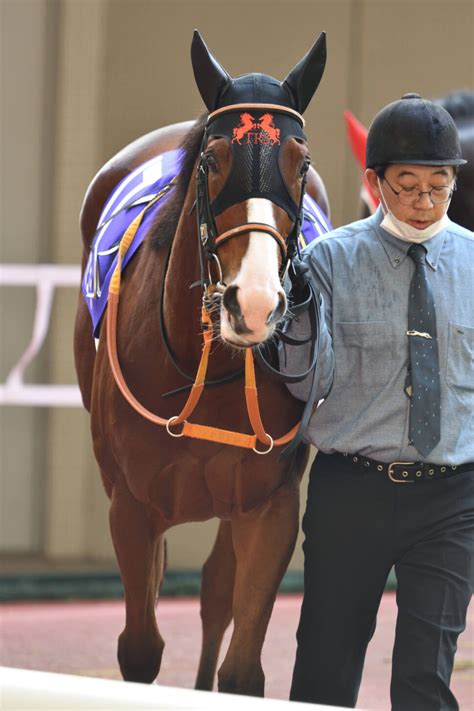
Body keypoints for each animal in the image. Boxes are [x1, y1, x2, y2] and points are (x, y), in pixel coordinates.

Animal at [74, 30, 330, 700]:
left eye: (301, 162)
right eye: (213, 161)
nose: (257, 301)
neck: (205, 369)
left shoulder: (269, 507)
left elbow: (241, 668)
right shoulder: (132, 507)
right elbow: (140, 650)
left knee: (216, 594)